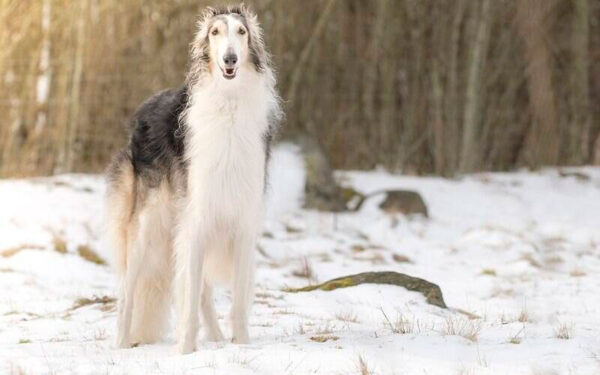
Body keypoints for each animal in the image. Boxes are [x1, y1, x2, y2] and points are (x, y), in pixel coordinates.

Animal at [105, 4, 282, 354]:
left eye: (241, 32)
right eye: (215, 32)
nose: (230, 59)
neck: (228, 104)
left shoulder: (241, 222)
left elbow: (236, 302)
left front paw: (241, 345)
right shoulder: (197, 217)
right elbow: (187, 297)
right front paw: (185, 352)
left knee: (200, 292)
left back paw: (216, 337)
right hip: (147, 225)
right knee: (128, 292)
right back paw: (121, 344)